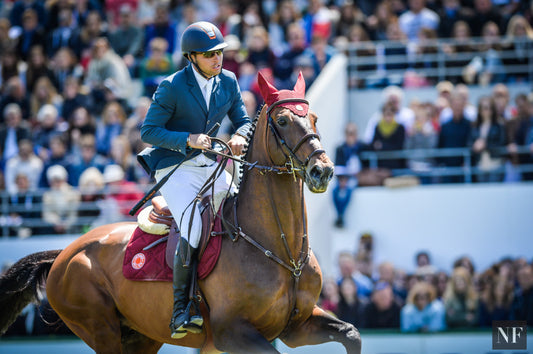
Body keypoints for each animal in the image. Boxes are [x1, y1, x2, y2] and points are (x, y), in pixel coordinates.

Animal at [0, 73, 362, 352]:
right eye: (283, 120)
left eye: (314, 119)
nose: (322, 171)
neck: (282, 250)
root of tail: (64, 252)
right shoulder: (234, 332)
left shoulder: (297, 326)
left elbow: (352, 334)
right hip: (100, 329)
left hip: (141, 336)